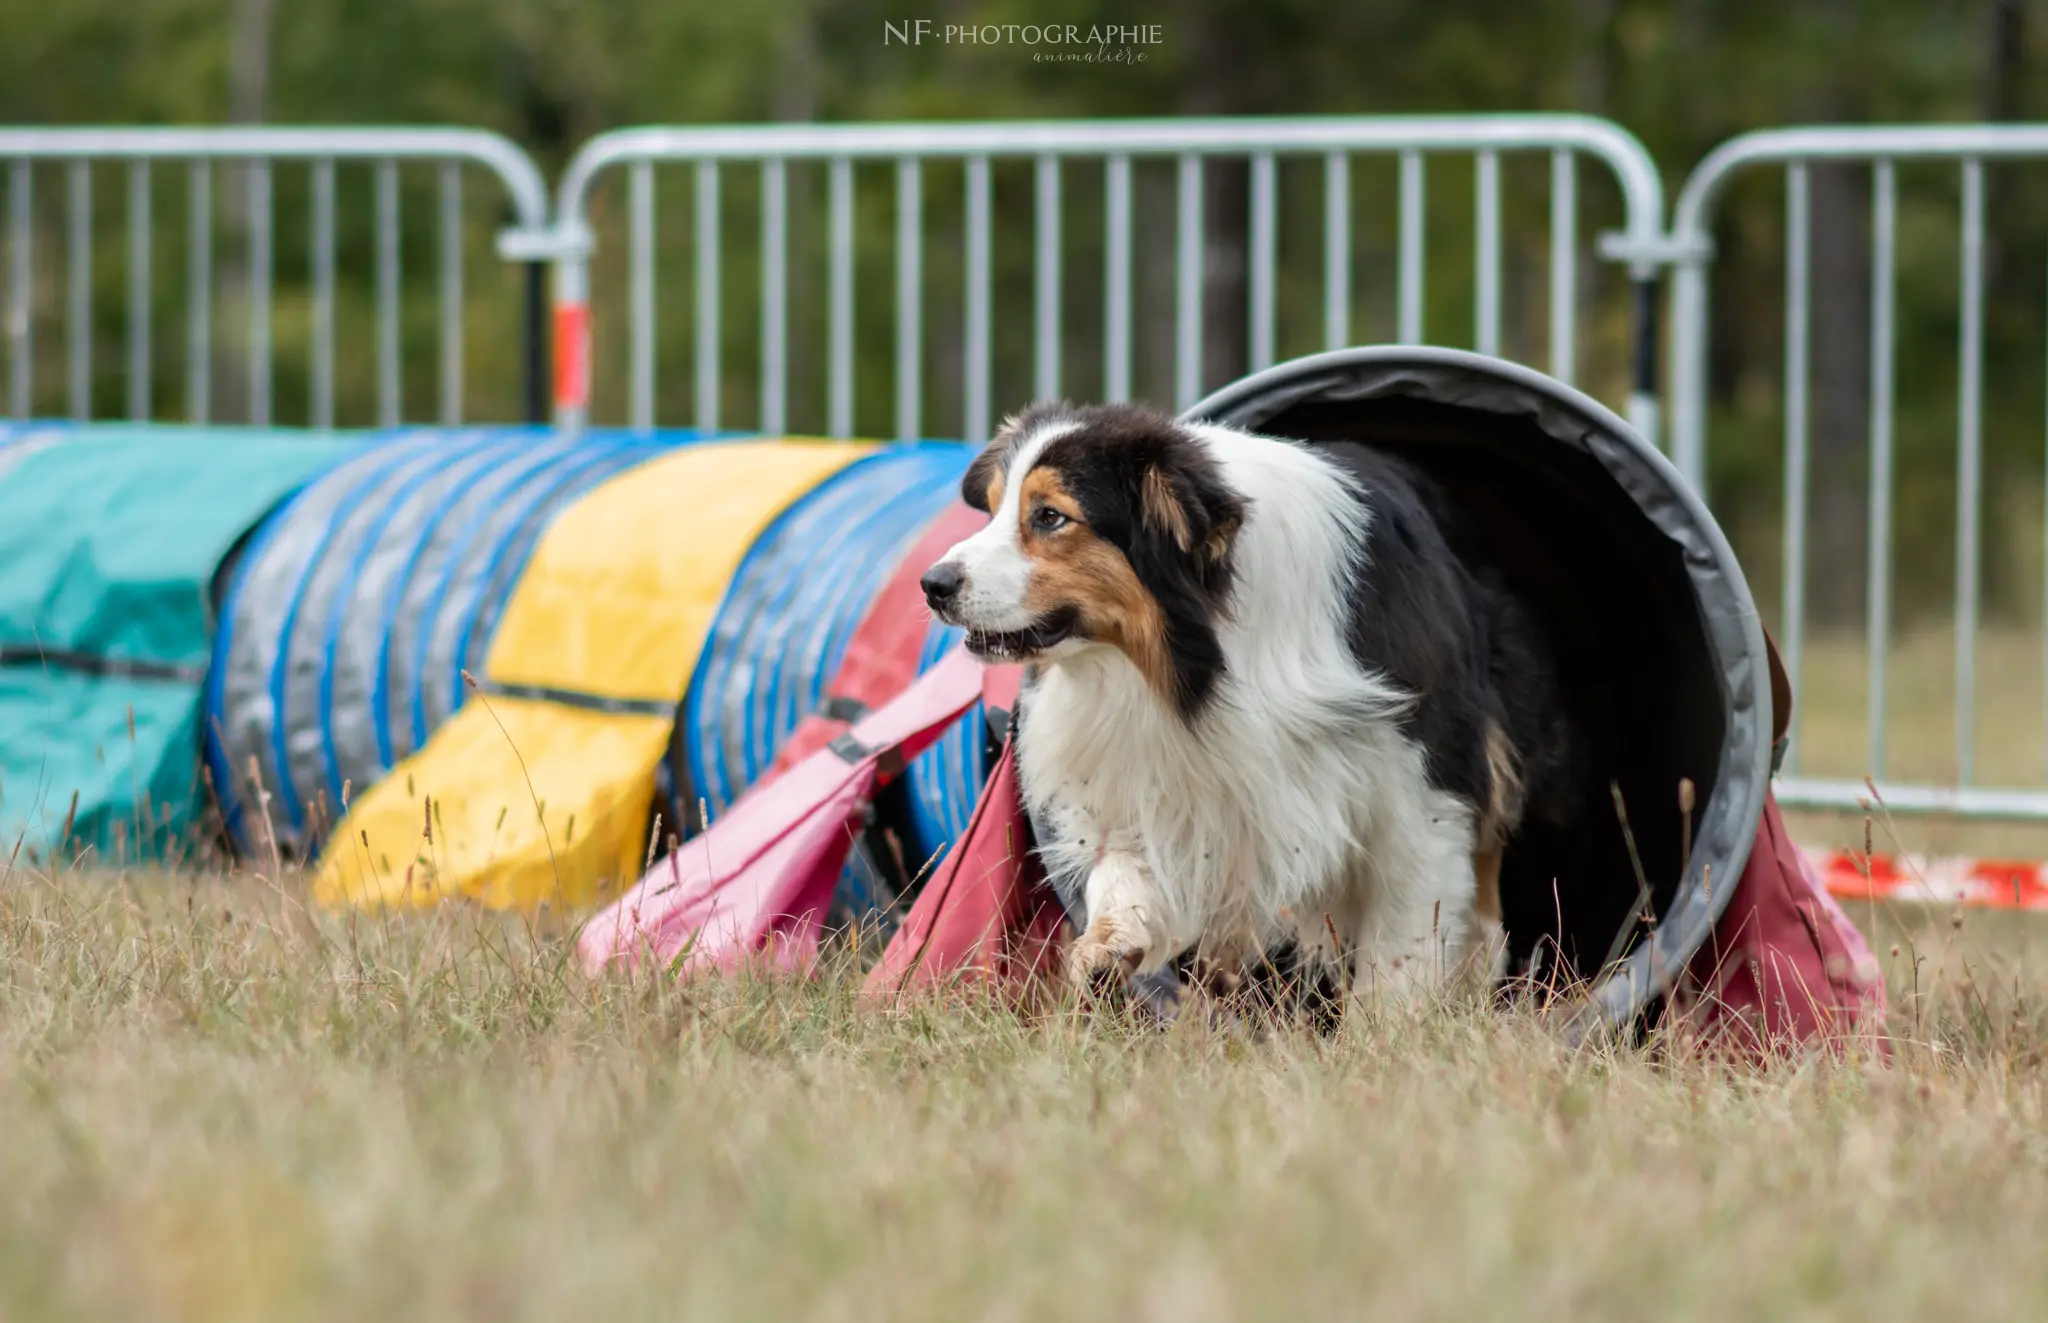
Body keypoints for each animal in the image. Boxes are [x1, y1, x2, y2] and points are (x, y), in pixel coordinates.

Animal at [921, 401, 1572, 1007]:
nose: (933, 584)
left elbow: (1404, 941)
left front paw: (1387, 1032)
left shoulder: (1423, 790)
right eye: (994, 508)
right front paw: (1109, 944)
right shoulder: (1155, 763)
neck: (1200, 659)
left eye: (1051, 516)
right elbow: (1124, 854)